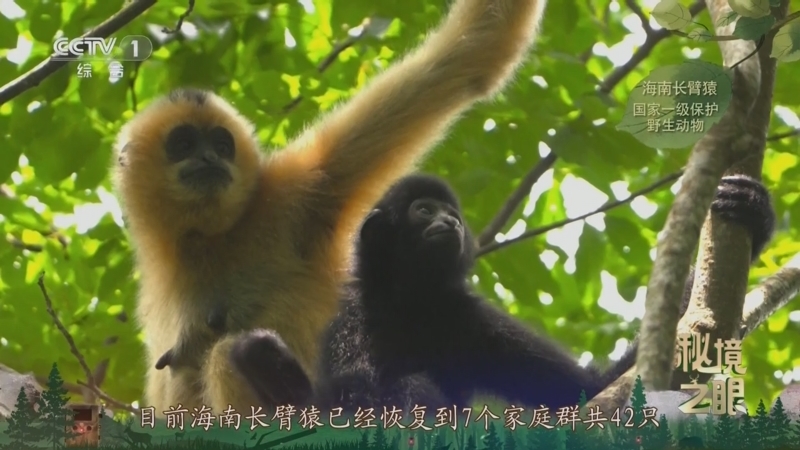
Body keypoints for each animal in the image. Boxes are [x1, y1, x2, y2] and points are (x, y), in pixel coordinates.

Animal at [112, 0, 549, 415]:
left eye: (222, 145)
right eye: (184, 144)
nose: (208, 159)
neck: (215, 237)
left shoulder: (301, 189)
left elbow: (472, 55)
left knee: (227, 353)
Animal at [230, 173, 775, 412]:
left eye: (451, 213)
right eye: (424, 211)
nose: (450, 222)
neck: (413, 303)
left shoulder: (470, 319)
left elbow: (585, 391)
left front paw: (752, 211)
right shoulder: (353, 311)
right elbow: (354, 394)